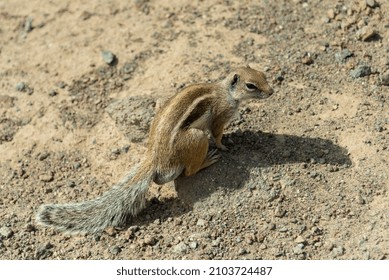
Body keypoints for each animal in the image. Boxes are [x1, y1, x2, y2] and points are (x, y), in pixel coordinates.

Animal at [35, 66, 272, 234]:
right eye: (251, 85)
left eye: (263, 74)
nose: (271, 91)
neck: (226, 92)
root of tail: (153, 157)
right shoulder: (221, 117)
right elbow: (218, 134)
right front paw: (225, 145)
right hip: (196, 138)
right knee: (188, 171)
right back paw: (207, 160)